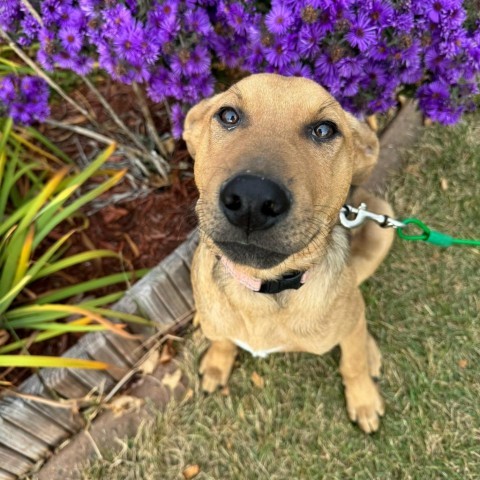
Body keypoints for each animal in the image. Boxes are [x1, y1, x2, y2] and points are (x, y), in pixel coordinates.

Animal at [182, 72, 396, 436]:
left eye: (324, 130)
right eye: (228, 115)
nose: (252, 200)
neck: (263, 291)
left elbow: (352, 362)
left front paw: (363, 399)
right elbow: (222, 338)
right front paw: (217, 362)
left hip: (383, 224)